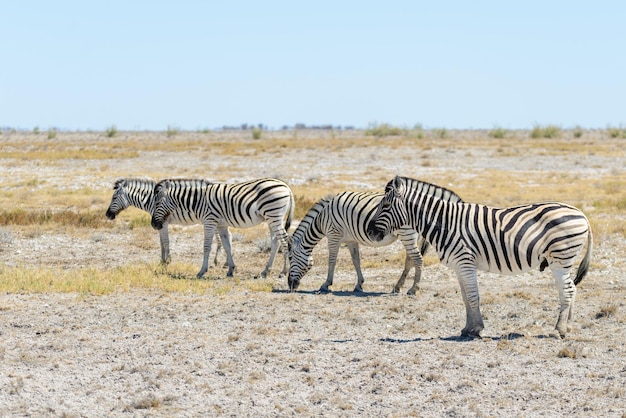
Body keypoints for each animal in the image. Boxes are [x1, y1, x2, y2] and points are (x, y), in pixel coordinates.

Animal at [150, 177, 294, 280]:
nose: (154, 225)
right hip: (272, 219)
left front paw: (202, 271)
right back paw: (265, 271)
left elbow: (207, 246)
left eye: (156, 203)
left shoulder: (209, 222)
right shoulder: (221, 225)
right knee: (275, 242)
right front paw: (231, 269)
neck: (197, 201)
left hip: (274, 215)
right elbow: (227, 245)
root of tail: (286, 186)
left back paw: (284, 271)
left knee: (285, 240)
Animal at [286, 188, 458, 292]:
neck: (322, 218)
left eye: (291, 258)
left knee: (418, 259)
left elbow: (332, 260)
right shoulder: (351, 240)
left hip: (406, 234)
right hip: (409, 236)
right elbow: (356, 260)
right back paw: (397, 287)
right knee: (410, 260)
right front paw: (359, 284)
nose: (290, 286)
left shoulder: (334, 235)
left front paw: (326, 284)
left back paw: (413, 289)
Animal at [366, 175, 588, 338]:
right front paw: (468, 328)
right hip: (562, 261)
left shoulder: (465, 262)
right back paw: (568, 326)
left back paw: (559, 330)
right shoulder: (458, 266)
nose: (369, 231)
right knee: (572, 289)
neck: (446, 223)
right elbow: (465, 298)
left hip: (560, 259)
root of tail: (581, 213)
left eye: (385, 206)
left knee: (567, 290)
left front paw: (476, 329)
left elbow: (473, 297)